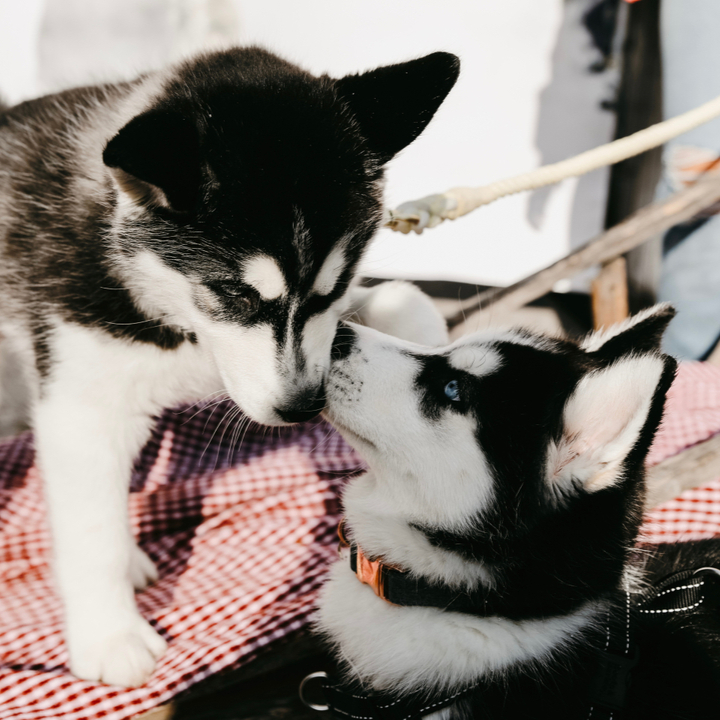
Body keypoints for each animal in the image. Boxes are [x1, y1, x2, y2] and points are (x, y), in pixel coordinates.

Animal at [0, 46, 458, 688]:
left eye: (333, 286)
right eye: (234, 293)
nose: (302, 408)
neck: (185, 327)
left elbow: (401, 303)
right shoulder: (81, 403)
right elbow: (91, 532)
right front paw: (109, 635)